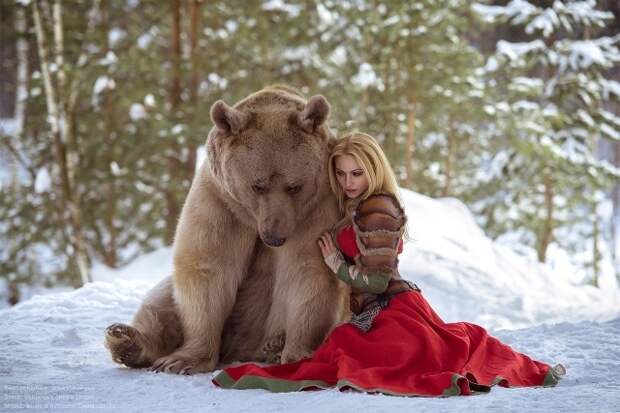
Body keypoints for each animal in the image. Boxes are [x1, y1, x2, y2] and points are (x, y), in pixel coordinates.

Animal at [104, 86, 352, 374]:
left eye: (294, 186)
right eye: (257, 185)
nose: (274, 237)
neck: (252, 217)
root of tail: (240, 348)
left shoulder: (316, 210)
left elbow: (307, 269)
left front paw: (297, 352)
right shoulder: (220, 202)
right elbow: (208, 265)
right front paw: (182, 360)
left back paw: (275, 345)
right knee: (161, 300)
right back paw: (127, 339)